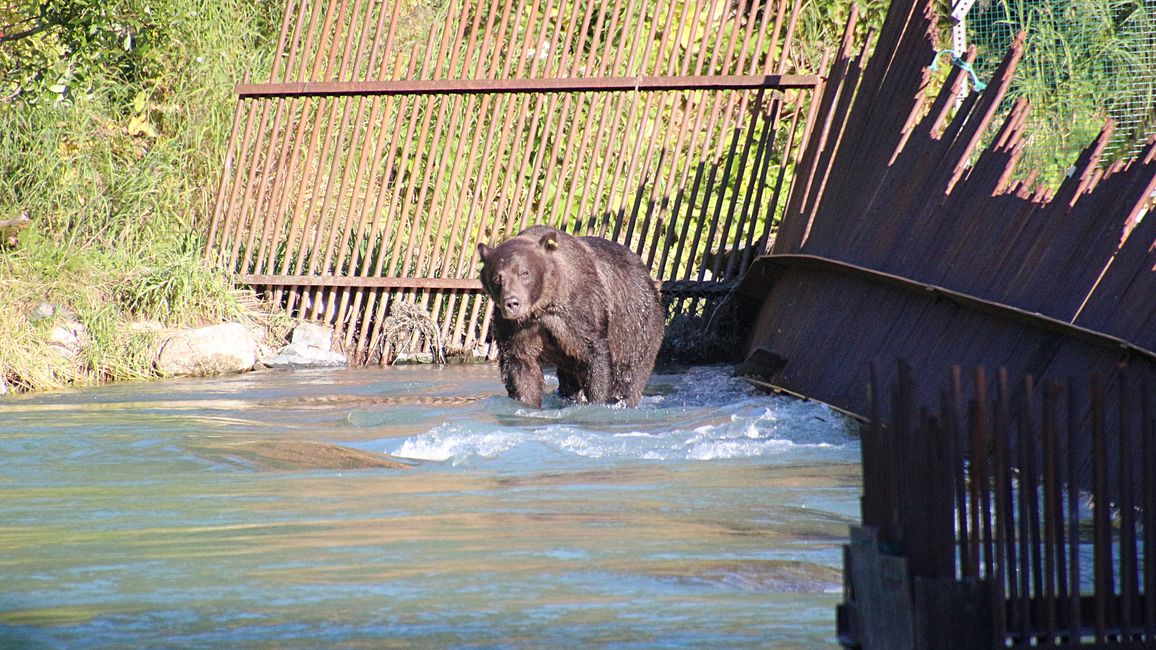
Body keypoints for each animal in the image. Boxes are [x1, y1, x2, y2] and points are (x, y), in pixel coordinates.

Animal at [473, 222, 665, 404]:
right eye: (497, 277)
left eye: (525, 273)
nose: (512, 303)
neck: (543, 304)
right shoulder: (516, 329)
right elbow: (520, 367)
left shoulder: (579, 314)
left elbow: (596, 357)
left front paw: (598, 399)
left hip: (636, 323)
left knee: (630, 374)